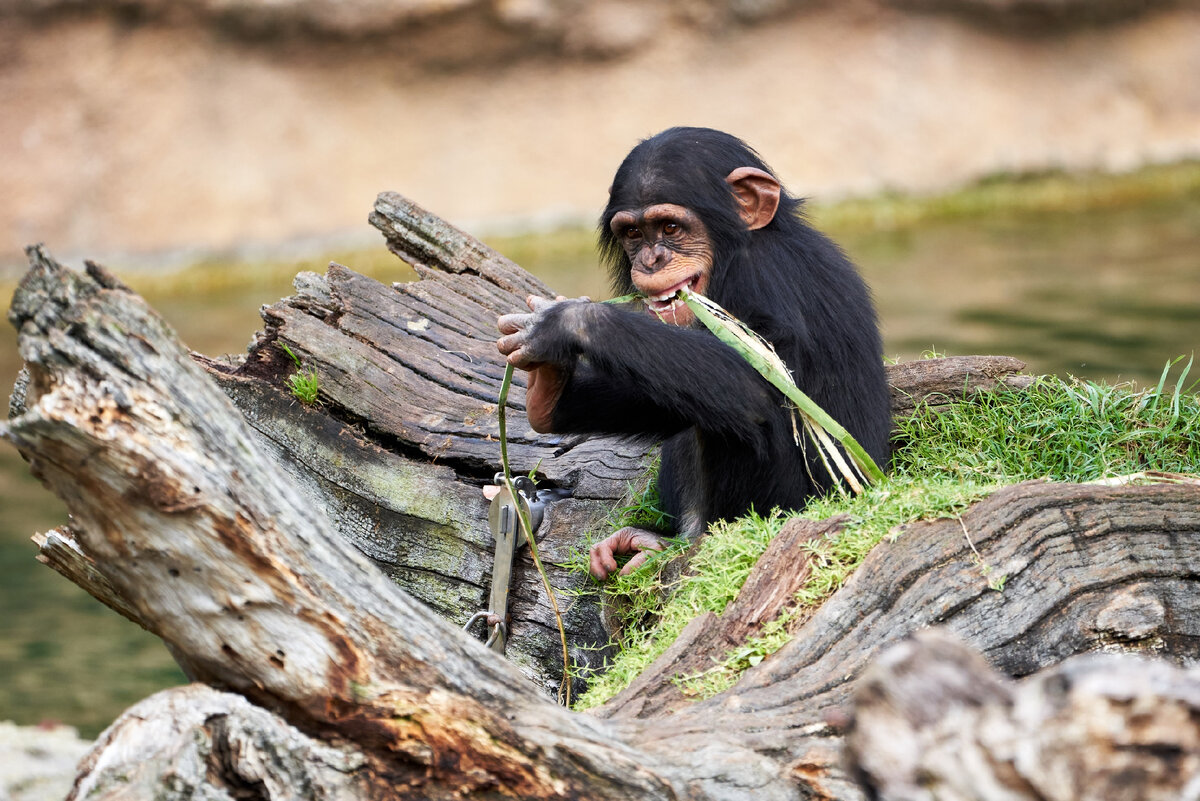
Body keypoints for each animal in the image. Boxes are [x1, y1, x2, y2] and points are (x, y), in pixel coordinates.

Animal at [494, 128, 892, 577]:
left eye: (670, 227)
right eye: (633, 234)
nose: (652, 259)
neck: (733, 256)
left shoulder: (766, 278)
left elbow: (757, 384)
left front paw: (562, 324)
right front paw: (547, 387)